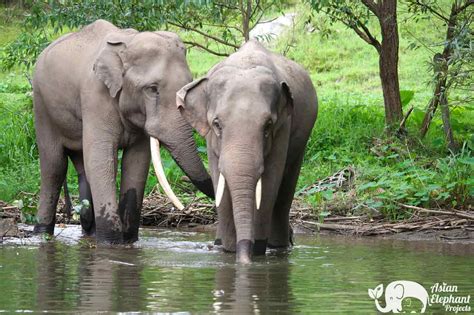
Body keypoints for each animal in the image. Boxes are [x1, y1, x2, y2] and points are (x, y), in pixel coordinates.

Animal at [31, 20, 213, 244]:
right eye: (152, 89)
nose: (184, 208)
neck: (127, 43)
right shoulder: (95, 96)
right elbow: (101, 159)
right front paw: (111, 243)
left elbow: (136, 162)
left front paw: (128, 241)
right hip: (41, 105)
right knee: (54, 166)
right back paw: (42, 233)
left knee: (82, 168)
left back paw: (89, 231)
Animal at [176, 40, 316, 264]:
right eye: (217, 124)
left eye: (268, 126)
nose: (244, 259)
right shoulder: (210, 140)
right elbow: (220, 182)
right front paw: (229, 250)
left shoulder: (283, 128)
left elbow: (269, 184)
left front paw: (255, 251)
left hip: (303, 137)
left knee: (284, 193)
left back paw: (279, 247)